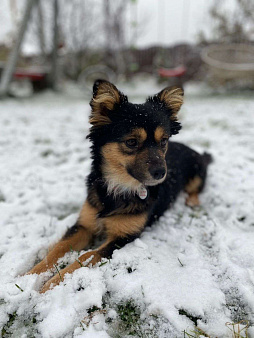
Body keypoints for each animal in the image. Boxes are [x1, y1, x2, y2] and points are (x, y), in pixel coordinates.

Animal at [27, 80, 212, 294]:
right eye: (131, 142)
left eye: (163, 141)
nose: (161, 173)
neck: (118, 188)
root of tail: (196, 152)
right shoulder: (84, 225)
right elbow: (57, 249)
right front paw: (28, 276)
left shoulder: (122, 237)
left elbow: (85, 256)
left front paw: (50, 285)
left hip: (197, 171)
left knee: (196, 189)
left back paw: (192, 201)